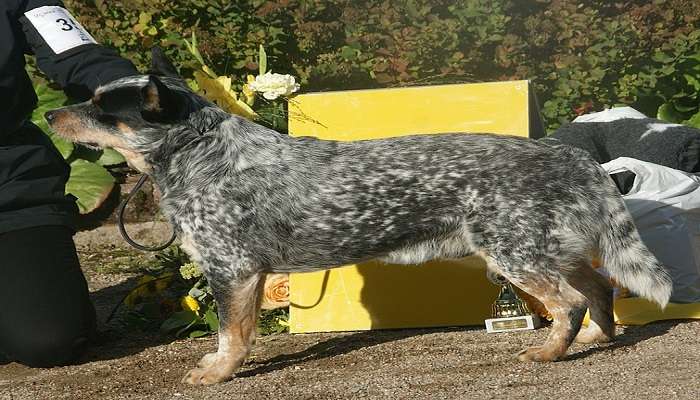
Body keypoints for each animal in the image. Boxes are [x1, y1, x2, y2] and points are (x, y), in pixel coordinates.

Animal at [45, 49, 672, 384]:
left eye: (102, 108)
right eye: (89, 98)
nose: (50, 113)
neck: (202, 155)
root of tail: (571, 156)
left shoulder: (233, 272)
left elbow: (233, 336)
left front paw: (218, 372)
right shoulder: (246, 275)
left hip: (518, 257)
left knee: (568, 303)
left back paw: (549, 352)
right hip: (549, 251)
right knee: (599, 290)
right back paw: (596, 338)